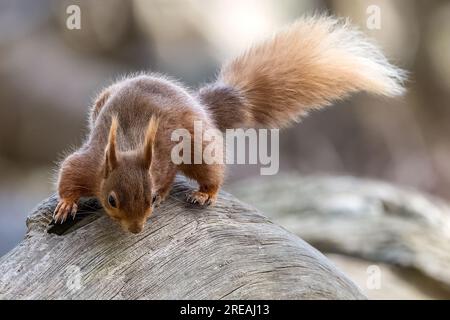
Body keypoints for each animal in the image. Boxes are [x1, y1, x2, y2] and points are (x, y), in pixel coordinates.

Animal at [52, 16, 404, 232]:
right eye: (112, 200)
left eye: (148, 199)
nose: (136, 229)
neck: (129, 144)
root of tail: (201, 106)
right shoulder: (90, 163)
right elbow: (68, 174)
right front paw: (66, 205)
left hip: (198, 145)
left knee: (211, 172)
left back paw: (205, 194)